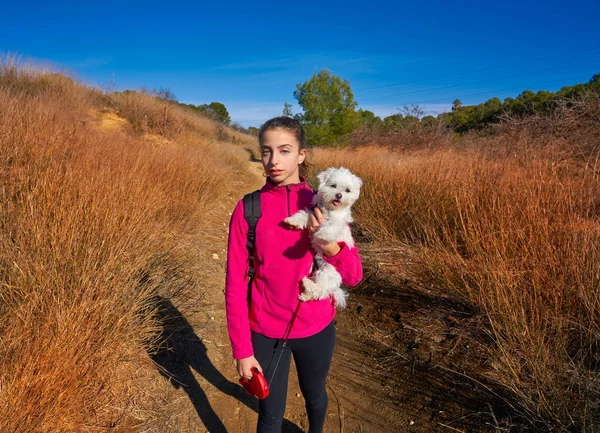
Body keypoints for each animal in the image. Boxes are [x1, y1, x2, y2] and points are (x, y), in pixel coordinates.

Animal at [282, 165, 360, 308]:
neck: (330, 210)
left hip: (327, 272)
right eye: (333, 186)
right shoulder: (313, 212)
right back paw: (305, 293)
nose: (339, 195)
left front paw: (322, 235)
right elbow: (304, 215)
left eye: (347, 190)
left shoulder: (337, 223)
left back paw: (307, 284)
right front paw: (293, 221)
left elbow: (330, 228)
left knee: (320, 290)